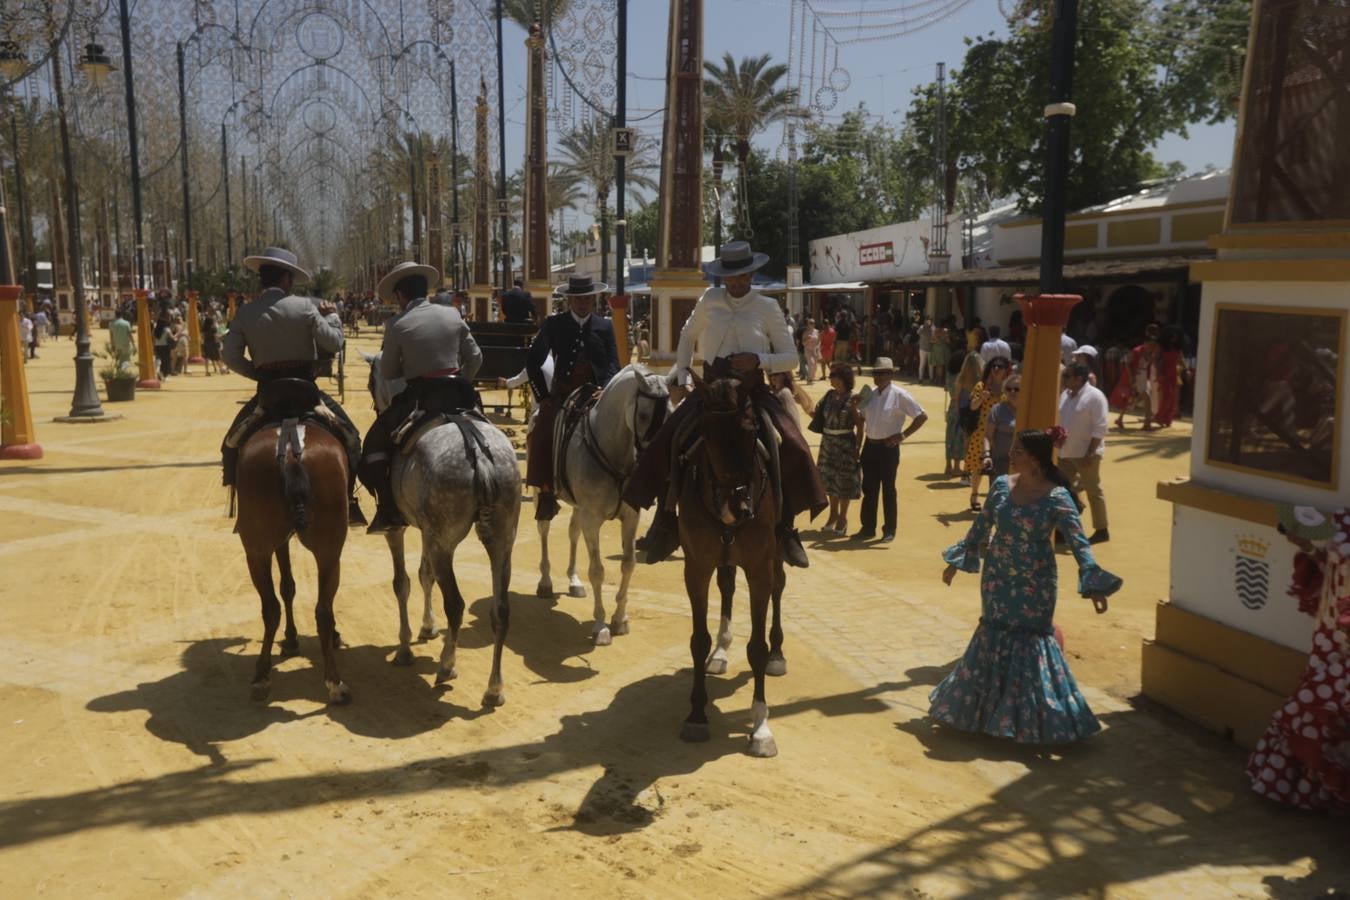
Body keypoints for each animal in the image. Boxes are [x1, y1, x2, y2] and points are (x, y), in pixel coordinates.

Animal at [237, 399, 353, 701]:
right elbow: (290, 586)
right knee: (321, 608)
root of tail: (290, 453)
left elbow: (287, 586)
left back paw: (262, 676)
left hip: (257, 550)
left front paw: (290, 639)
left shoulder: (278, 542)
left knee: (272, 607)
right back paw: (334, 682)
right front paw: (295, 638)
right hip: (327, 548)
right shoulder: (285, 542)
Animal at [361, 350, 518, 712]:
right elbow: (424, 574)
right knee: (500, 611)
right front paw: (427, 627)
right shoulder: (427, 531)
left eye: (371, 381)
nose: (375, 402)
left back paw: (447, 666)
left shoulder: (399, 530)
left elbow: (402, 582)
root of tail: (479, 454)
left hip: (445, 543)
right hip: (502, 542)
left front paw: (405, 648)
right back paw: (494, 689)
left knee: (456, 604)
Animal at [531, 361, 669, 644]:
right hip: (543, 494)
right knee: (544, 530)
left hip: (577, 506)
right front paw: (600, 625)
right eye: (643, 416)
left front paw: (619, 619)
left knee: (572, 531)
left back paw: (573, 580)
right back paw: (546, 581)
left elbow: (628, 564)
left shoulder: (630, 516)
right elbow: (597, 570)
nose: (655, 465)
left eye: (670, 413)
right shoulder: (592, 519)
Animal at [680, 369, 788, 755]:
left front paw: (760, 727)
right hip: (724, 556)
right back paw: (721, 652)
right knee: (726, 585)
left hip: (776, 548)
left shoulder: (758, 567)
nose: (737, 508)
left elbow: (755, 647)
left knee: (779, 586)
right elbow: (698, 640)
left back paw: (778, 654)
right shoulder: (696, 567)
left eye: (751, 429)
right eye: (705, 431)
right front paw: (697, 715)